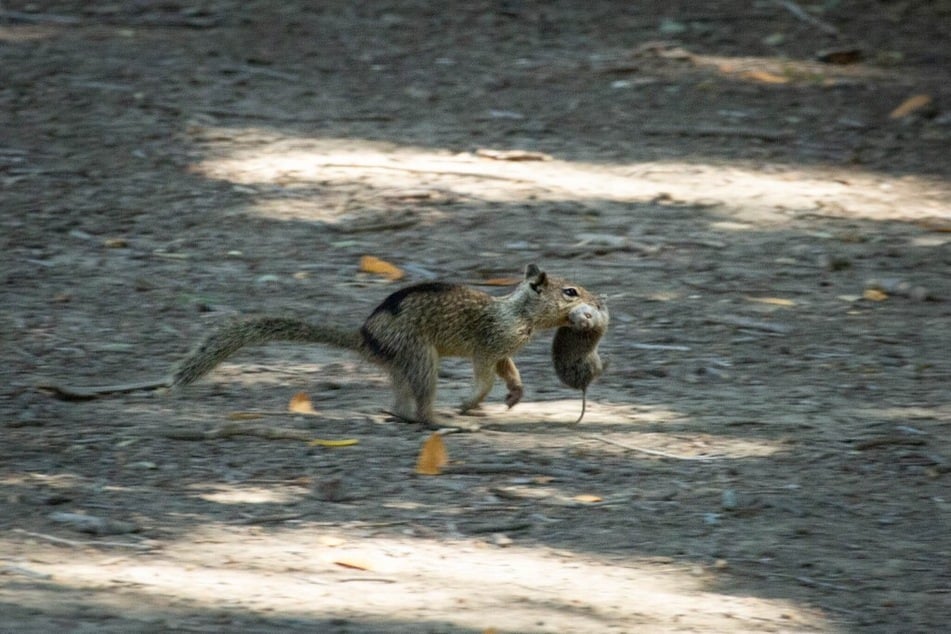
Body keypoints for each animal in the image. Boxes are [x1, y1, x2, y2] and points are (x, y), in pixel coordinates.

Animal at [552, 294, 608, 422]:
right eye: (572, 321)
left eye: (588, 315)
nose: (584, 323)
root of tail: (583, 385)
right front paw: (601, 299)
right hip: (594, 363)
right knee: (599, 372)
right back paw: (608, 360)